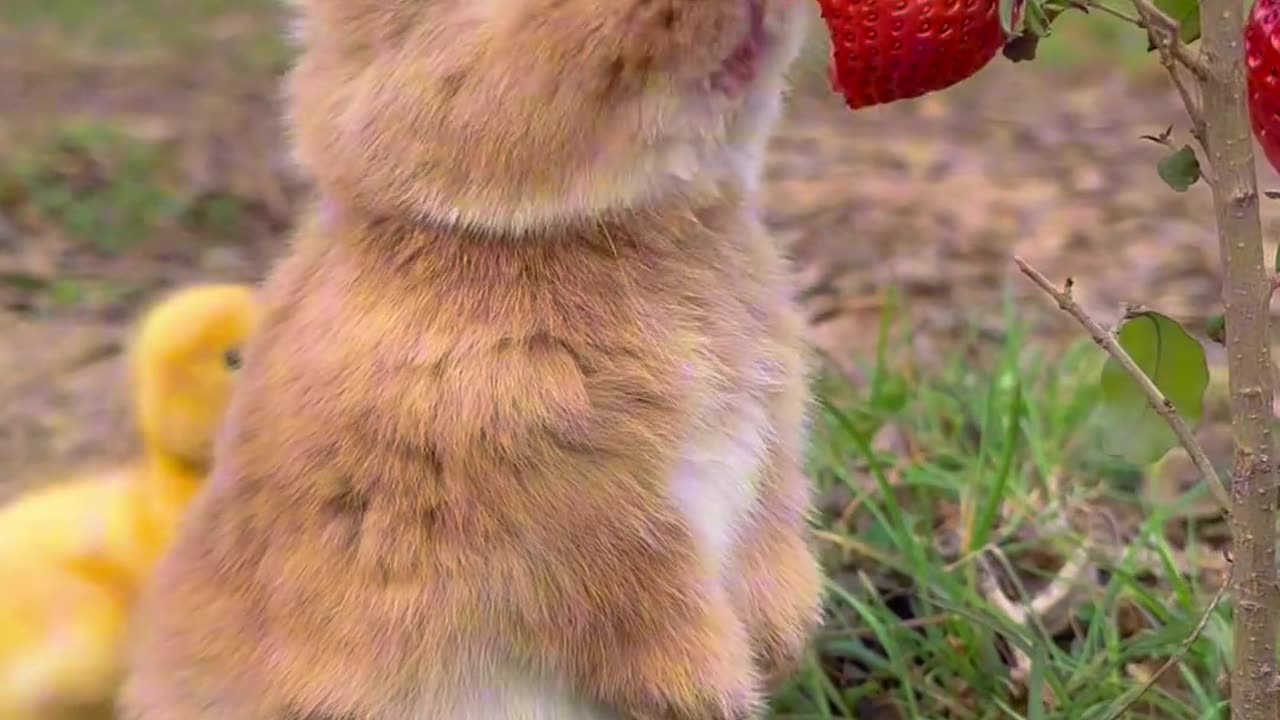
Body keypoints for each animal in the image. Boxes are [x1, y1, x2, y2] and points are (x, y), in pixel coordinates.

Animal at [117, 1, 819, 717]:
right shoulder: (568, 516)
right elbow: (643, 604)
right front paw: (717, 688)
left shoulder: (771, 447)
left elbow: (773, 534)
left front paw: (781, 643)